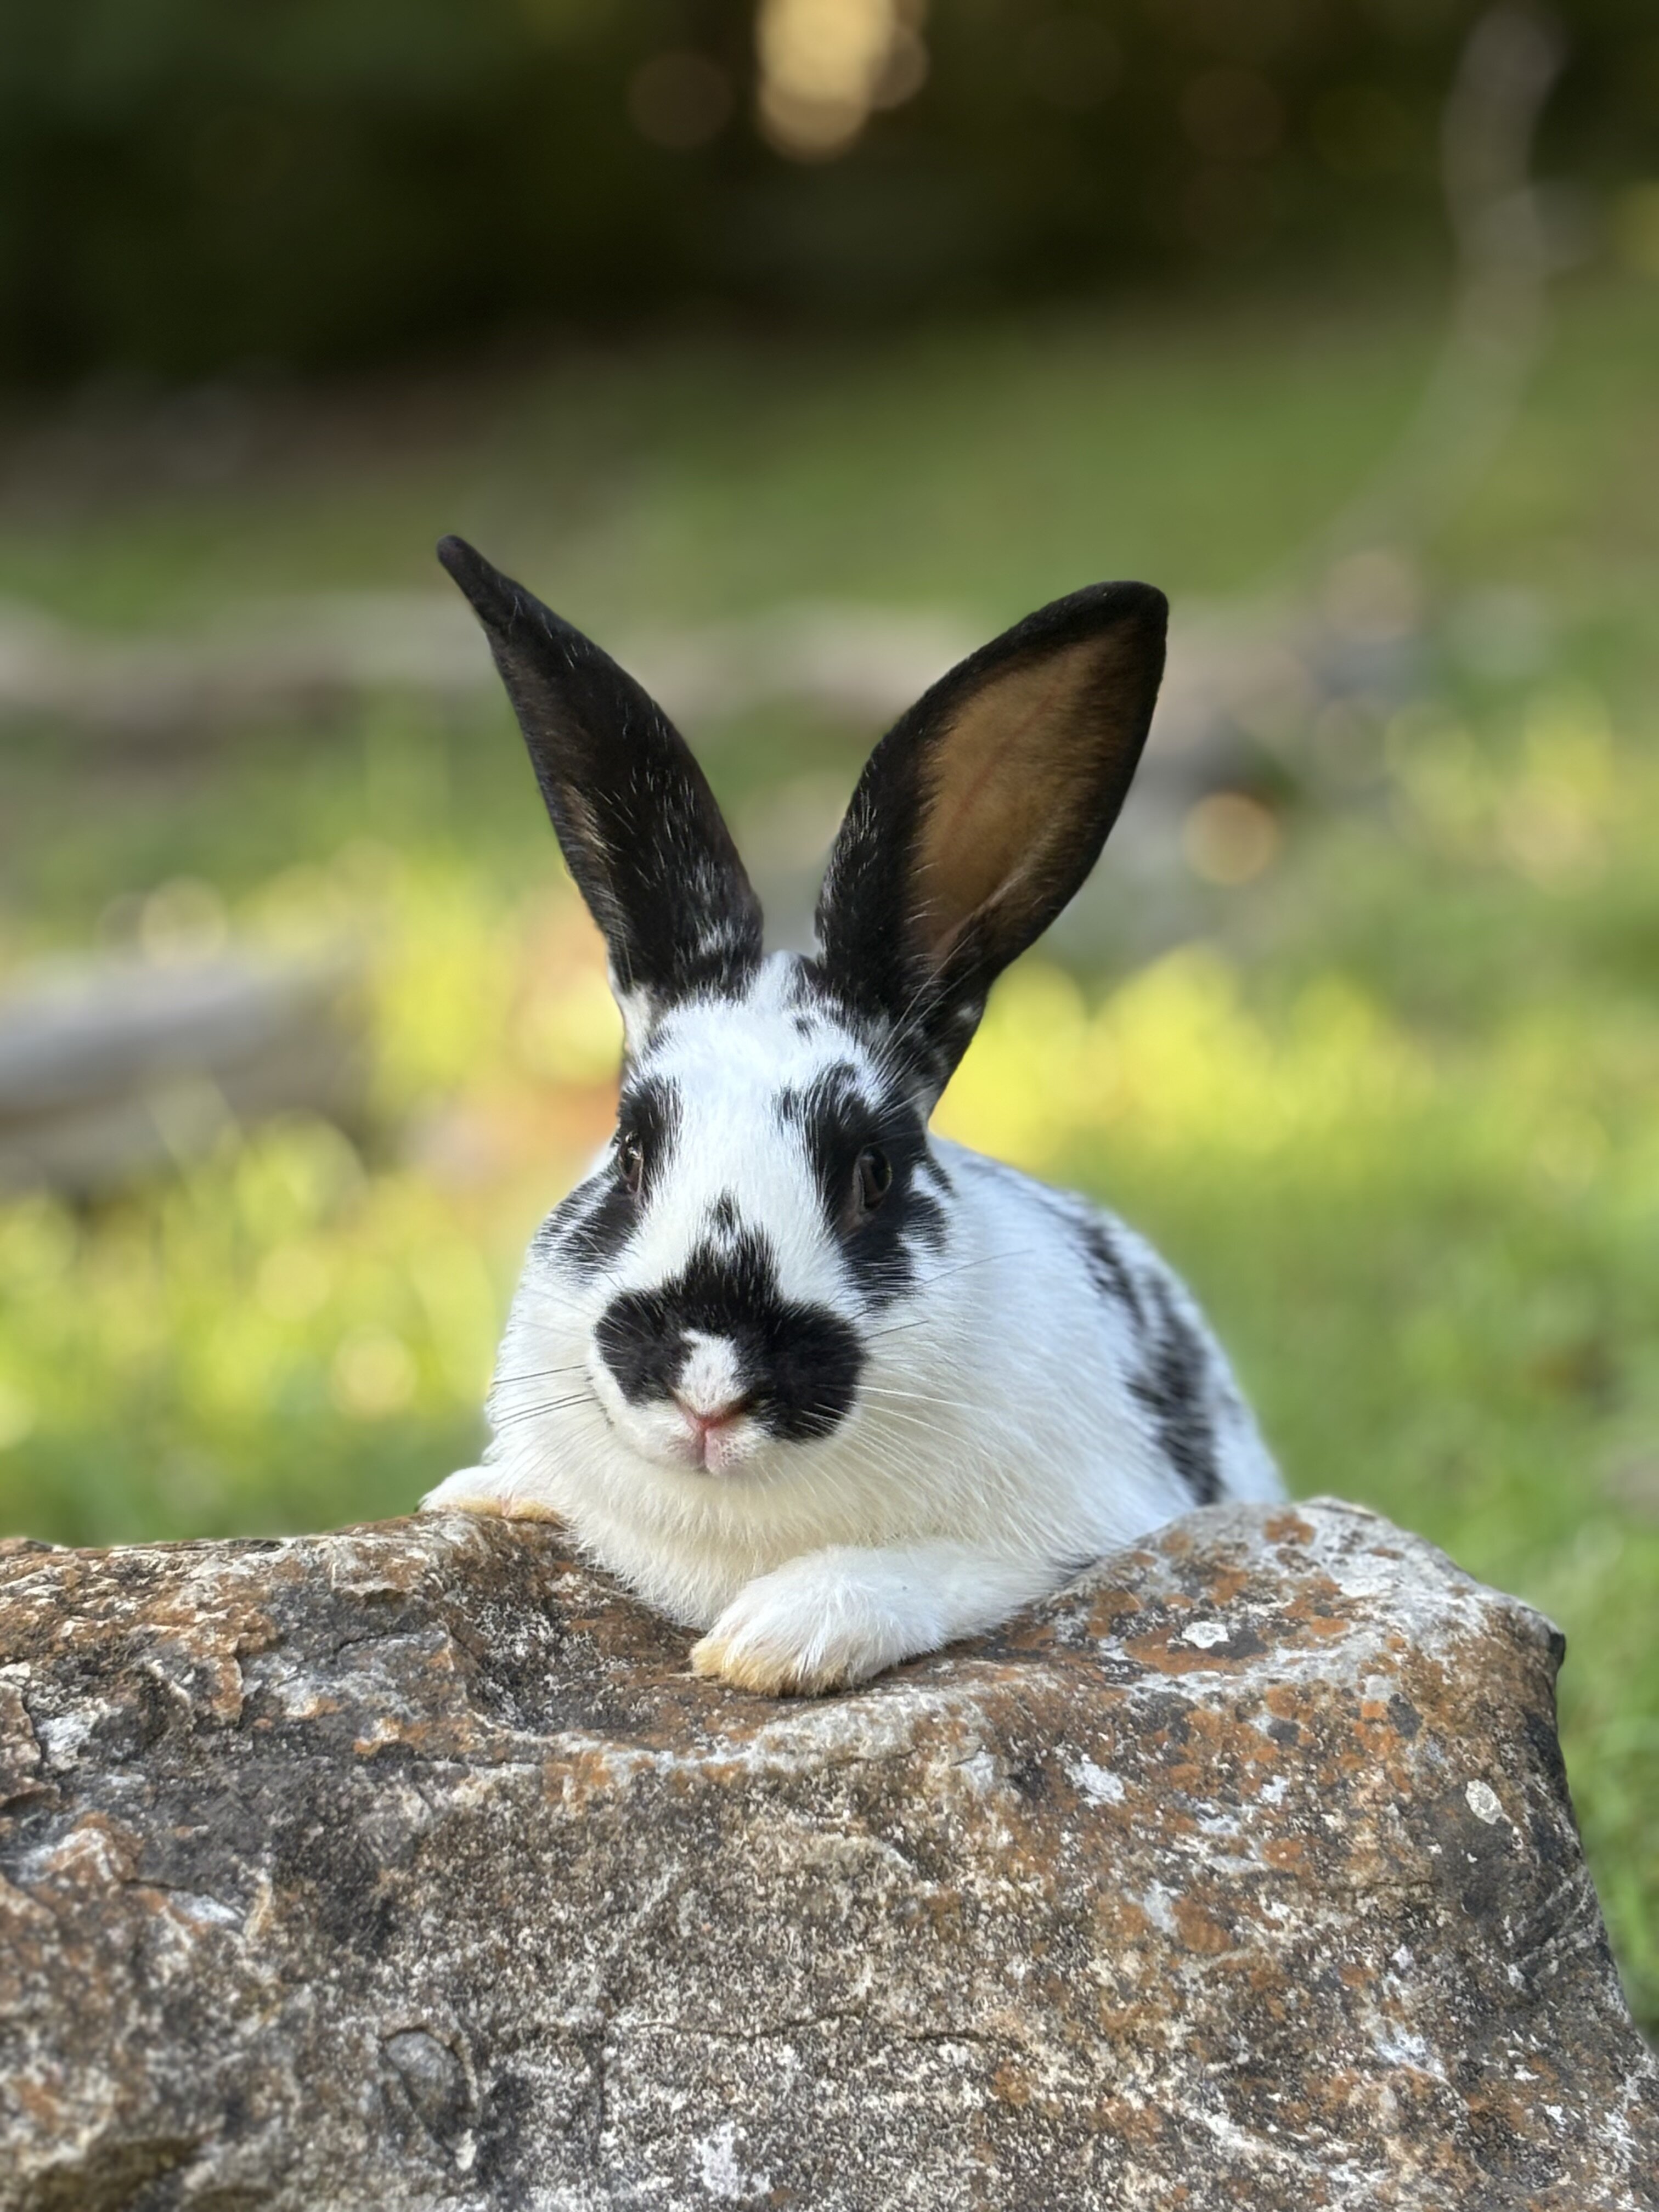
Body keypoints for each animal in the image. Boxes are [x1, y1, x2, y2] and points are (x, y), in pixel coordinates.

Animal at [422, 534, 1282, 1694]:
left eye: (871, 1174)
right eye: (631, 1150)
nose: (709, 1384)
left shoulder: (1075, 1530)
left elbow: (936, 1569)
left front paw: (770, 1641)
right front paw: (476, 1488)